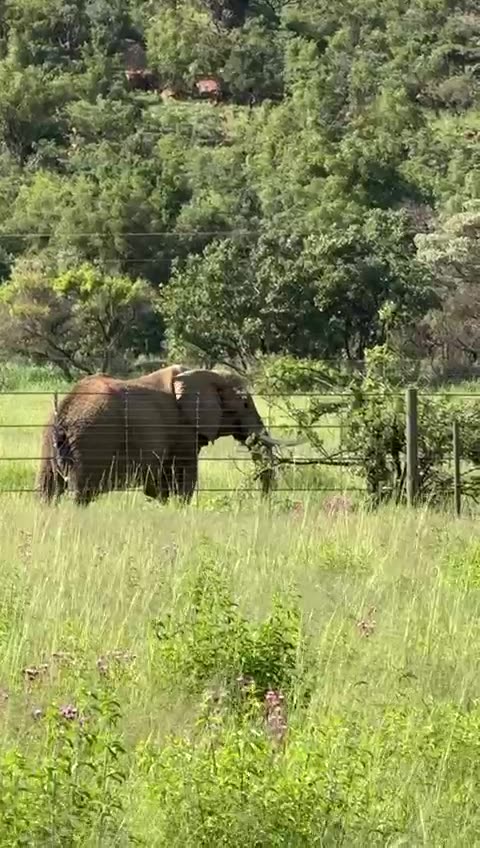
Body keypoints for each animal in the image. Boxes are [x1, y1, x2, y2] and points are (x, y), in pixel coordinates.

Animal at [37, 364, 282, 506]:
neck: (204, 373)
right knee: (79, 494)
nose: (263, 503)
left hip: (49, 443)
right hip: (90, 443)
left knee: (47, 490)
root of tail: (63, 413)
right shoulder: (183, 430)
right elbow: (184, 478)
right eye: (245, 403)